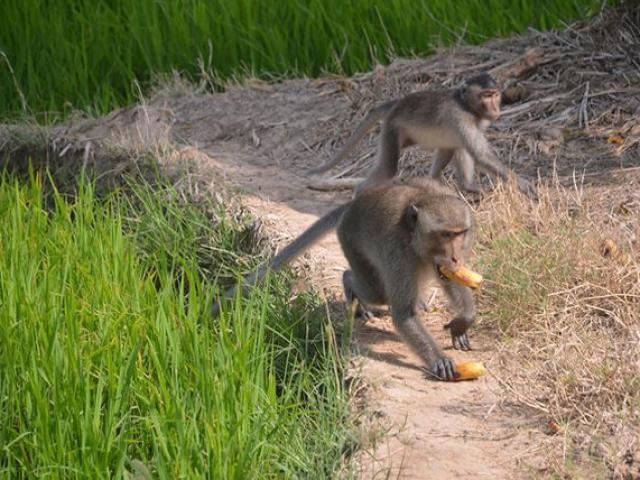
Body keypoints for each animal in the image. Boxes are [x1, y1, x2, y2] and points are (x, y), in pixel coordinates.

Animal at [212, 177, 478, 382]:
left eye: (459, 234)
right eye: (445, 235)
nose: (455, 256)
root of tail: (353, 205)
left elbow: (451, 278)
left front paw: (463, 321)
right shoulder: (397, 252)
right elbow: (403, 314)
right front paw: (439, 359)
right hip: (350, 239)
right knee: (374, 289)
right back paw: (351, 286)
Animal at [308, 71, 536, 199]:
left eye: (495, 95)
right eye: (486, 96)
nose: (495, 109)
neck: (466, 105)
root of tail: (397, 103)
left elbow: (457, 148)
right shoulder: (460, 117)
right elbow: (481, 156)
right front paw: (526, 185)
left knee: (455, 146)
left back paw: (457, 185)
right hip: (392, 129)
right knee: (387, 169)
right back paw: (360, 192)